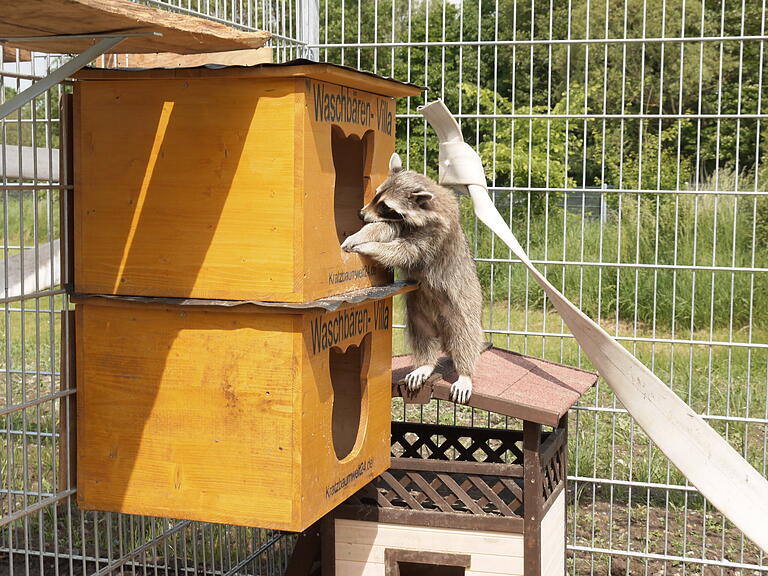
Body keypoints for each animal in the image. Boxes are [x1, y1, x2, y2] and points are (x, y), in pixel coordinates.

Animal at [340, 153, 484, 404]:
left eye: (385, 206)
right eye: (376, 195)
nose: (360, 214)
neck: (428, 209)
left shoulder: (433, 237)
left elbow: (404, 251)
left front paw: (369, 245)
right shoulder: (401, 224)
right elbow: (383, 229)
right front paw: (361, 234)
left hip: (463, 307)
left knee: (466, 336)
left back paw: (465, 372)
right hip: (419, 310)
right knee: (422, 335)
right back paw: (425, 363)